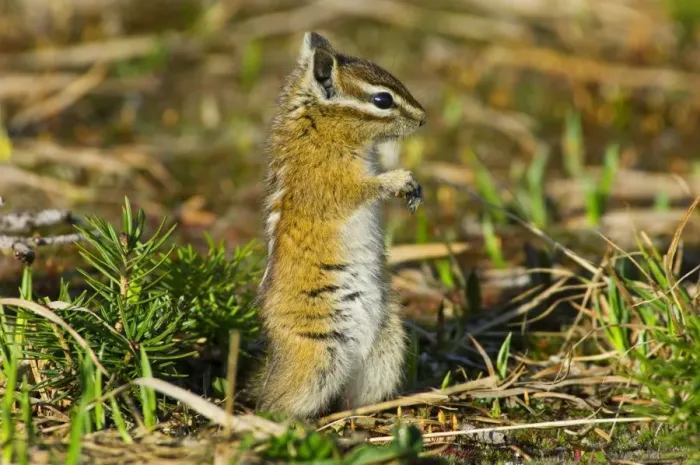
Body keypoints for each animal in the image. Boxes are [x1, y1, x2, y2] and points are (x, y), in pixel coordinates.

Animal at [254, 31, 426, 419]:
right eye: (382, 99)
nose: (423, 119)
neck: (319, 123)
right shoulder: (326, 180)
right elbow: (357, 190)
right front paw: (398, 180)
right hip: (317, 356)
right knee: (275, 403)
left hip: (386, 344)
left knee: (352, 397)